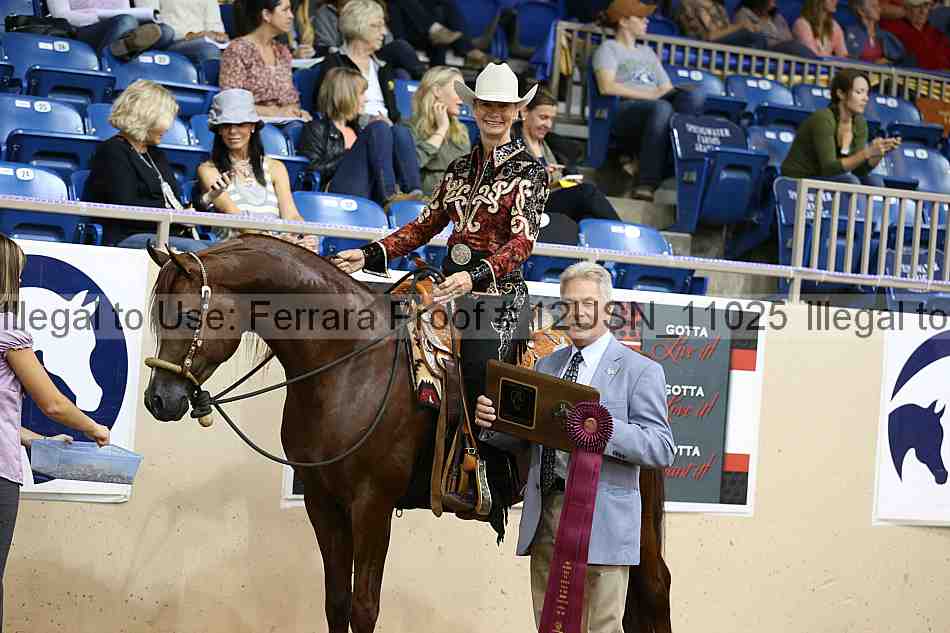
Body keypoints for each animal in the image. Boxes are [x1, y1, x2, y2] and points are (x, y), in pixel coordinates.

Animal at [142, 235, 671, 633]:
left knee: (653, 588)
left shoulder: (372, 503)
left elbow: (364, 607)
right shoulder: (322, 501)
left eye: (190, 315)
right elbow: (336, 602)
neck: (350, 364)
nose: (158, 400)